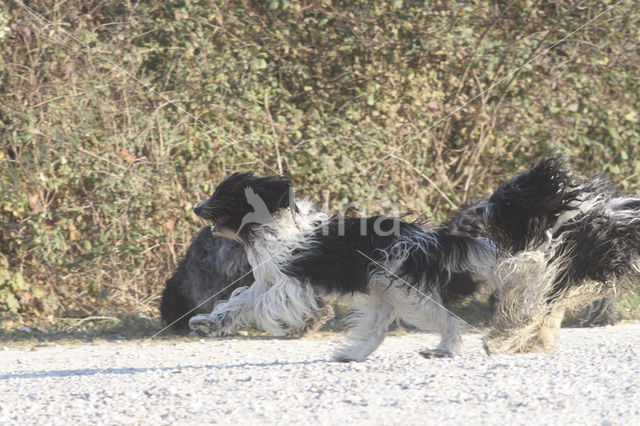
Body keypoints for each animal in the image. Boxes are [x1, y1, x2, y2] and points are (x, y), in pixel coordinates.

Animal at [185, 171, 496, 362]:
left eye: (224, 194)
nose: (196, 207)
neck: (273, 227)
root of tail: (429, 237)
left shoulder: (294, 282)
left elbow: (263, 305)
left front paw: (276, 324)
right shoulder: (268, 280)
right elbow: (239, 303)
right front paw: (209, 323)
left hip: (406, 293)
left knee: (448, 319)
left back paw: (446, 350)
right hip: (384, 292)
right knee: (378, 330)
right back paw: (354, 355)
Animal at [480, 158, 640, 354]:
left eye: (506, 202)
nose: (480, 211)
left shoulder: (554, 277)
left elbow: (528, 316)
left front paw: (498, 343)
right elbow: (550, 316)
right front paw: (539, 343)